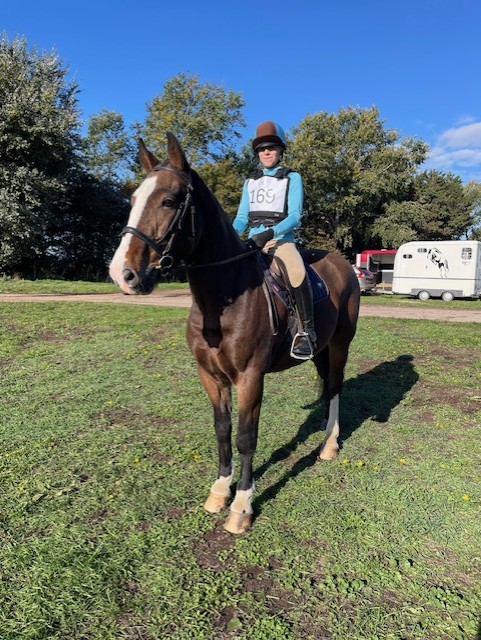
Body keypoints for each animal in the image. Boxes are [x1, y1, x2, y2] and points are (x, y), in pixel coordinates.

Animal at [109, 133, 360, 534]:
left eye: (168, 200)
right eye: (133, 201)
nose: (123, 274)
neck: (222, 299)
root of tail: (342, 263)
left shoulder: (250, 377)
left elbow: (246, 437)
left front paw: (241, 505)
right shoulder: (211, 376)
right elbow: (222, 430)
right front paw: (219, 491)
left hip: (340, 344)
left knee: (336, 386)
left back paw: (329, 445)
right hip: (320, 348)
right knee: (326, 383)